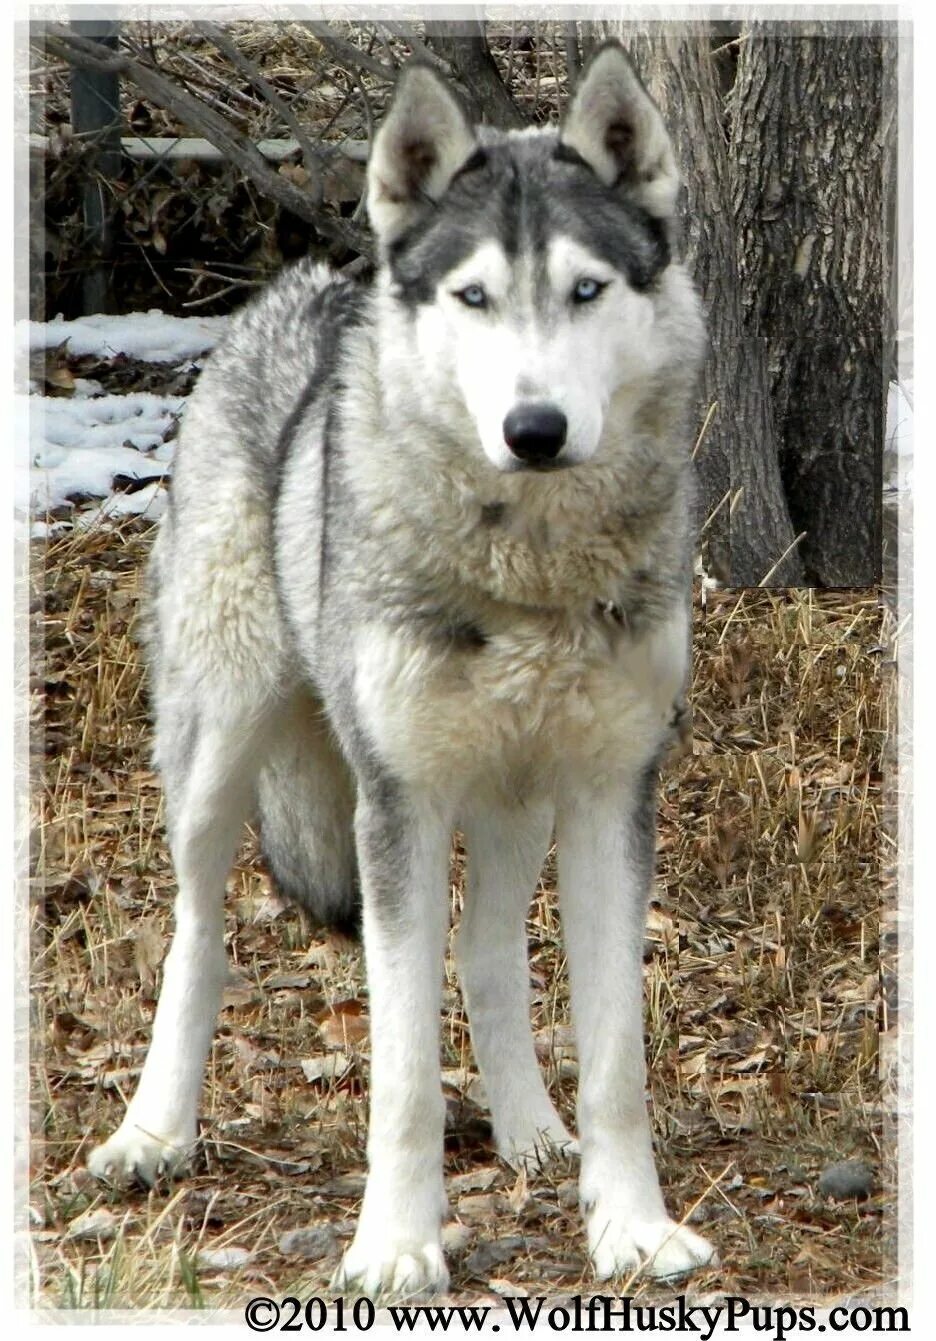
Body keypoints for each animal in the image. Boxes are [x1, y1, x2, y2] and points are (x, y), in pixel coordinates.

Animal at [87, 41, 713, 1292]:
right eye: (474, 297)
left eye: (586, 291)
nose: (535, 428)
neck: (527, 569)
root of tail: (307, 285)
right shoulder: (399, 806)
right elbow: (406, 1077)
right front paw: (396, 1248)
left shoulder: (611, 793)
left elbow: (615, 1061)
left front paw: (629, 1228)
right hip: (221, 750)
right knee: (198, 939)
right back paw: (153, 1134)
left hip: (517, 800)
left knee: (486, 955)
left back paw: (532, 1135)